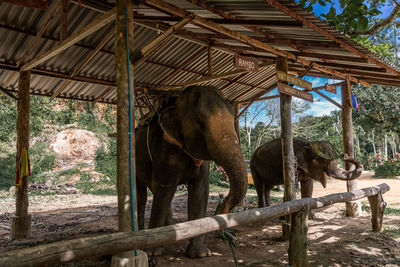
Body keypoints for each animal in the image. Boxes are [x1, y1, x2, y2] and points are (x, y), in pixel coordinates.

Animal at [135, 86, 247, 260]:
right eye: (200, 122)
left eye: (233, 119)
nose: (225, 233)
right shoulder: (164, 149)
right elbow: (164, 188)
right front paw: (153, 252)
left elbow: (199, 192)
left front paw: (200, 254)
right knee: (143, 195)